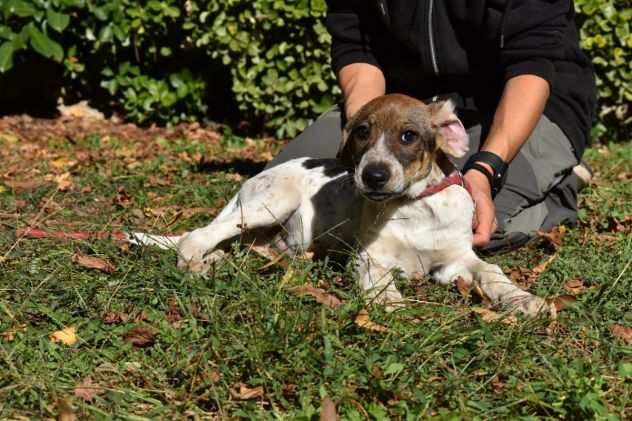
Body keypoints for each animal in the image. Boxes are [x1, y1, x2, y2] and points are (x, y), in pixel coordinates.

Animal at [137, 92, 548, 316]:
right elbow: (380, 280)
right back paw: (198, 265)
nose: (373, 176)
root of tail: (249, 183)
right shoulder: (368, 257)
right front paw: (390, 305)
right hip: (269, 202)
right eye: (362, 132)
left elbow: (492, 273)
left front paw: (524, 300)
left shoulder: (457, 261)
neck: (414, 207)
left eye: (409, 136)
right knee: (197, 235)